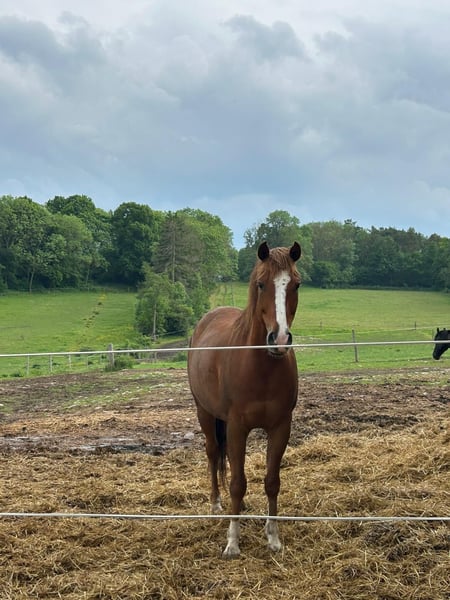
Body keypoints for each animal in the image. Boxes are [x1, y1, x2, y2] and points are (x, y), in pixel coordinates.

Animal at [187, 241, 301, 558]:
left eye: (296, 284)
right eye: (261, 284)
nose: (279, 339)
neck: (260, 367)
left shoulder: (280, 427)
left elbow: (272, 482)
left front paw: (273, 537)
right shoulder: (238, 427)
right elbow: (238, 483)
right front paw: (233, 542)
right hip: (205, 413)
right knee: (213, 452)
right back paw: (216, 504)